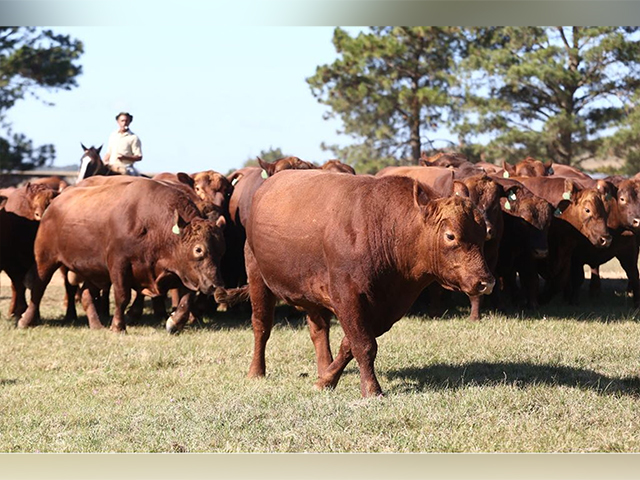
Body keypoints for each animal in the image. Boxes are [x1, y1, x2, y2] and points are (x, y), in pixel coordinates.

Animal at [17, 177, 226, 334]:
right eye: (198, 249)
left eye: (221, 250)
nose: (216, 286)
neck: (152, 224)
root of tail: (54, 203)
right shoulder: (119, 265)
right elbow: (122, 296)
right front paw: (118, 326)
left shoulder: (181, 272)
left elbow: (186, 300)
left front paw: (173, 323)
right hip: (45, 259)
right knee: (38, 288)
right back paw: (26, 320)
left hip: (92, 270)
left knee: (85, 294)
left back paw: (96, 324)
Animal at [242, 171, 492, 396]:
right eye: (450, 236)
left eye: (485, 234)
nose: (486, 282)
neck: (386, 229)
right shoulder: (347, 297)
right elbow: (364, 345)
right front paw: (371, 389)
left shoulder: (385, 309)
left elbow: (350, 344)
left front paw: (326, 380)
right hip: (257, 277)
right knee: (261, 326)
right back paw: (256, 371)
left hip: (311, 294)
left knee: (319, 330)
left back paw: (323, 367)